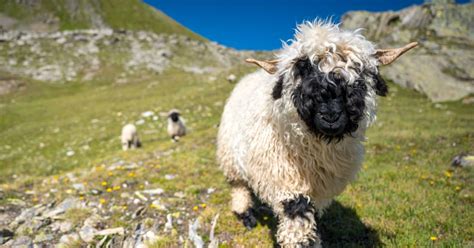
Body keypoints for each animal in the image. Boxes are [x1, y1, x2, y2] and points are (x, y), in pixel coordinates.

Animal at [217, 20, 416, 247]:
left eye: (360, 76)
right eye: (302, 70)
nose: (330, 115)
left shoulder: (321, 187)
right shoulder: (285, 177)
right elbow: (297, 218)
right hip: (230, 157)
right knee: (239, 186)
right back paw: (246, 215)